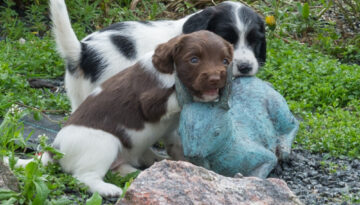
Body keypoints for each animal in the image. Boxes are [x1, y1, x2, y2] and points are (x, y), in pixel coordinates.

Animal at [11, 30, 233, 197]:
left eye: (225, 60)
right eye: (193, 59)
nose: (216, 79)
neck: (170, 71)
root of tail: (54, 149)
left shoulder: (172, 130)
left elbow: (177, 144)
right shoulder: (149, 102)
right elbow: (174, 96)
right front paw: (201, 95)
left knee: (119, 167)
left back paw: (143, 168)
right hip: (104, 143)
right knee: (84, 176)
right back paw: (108, 189)